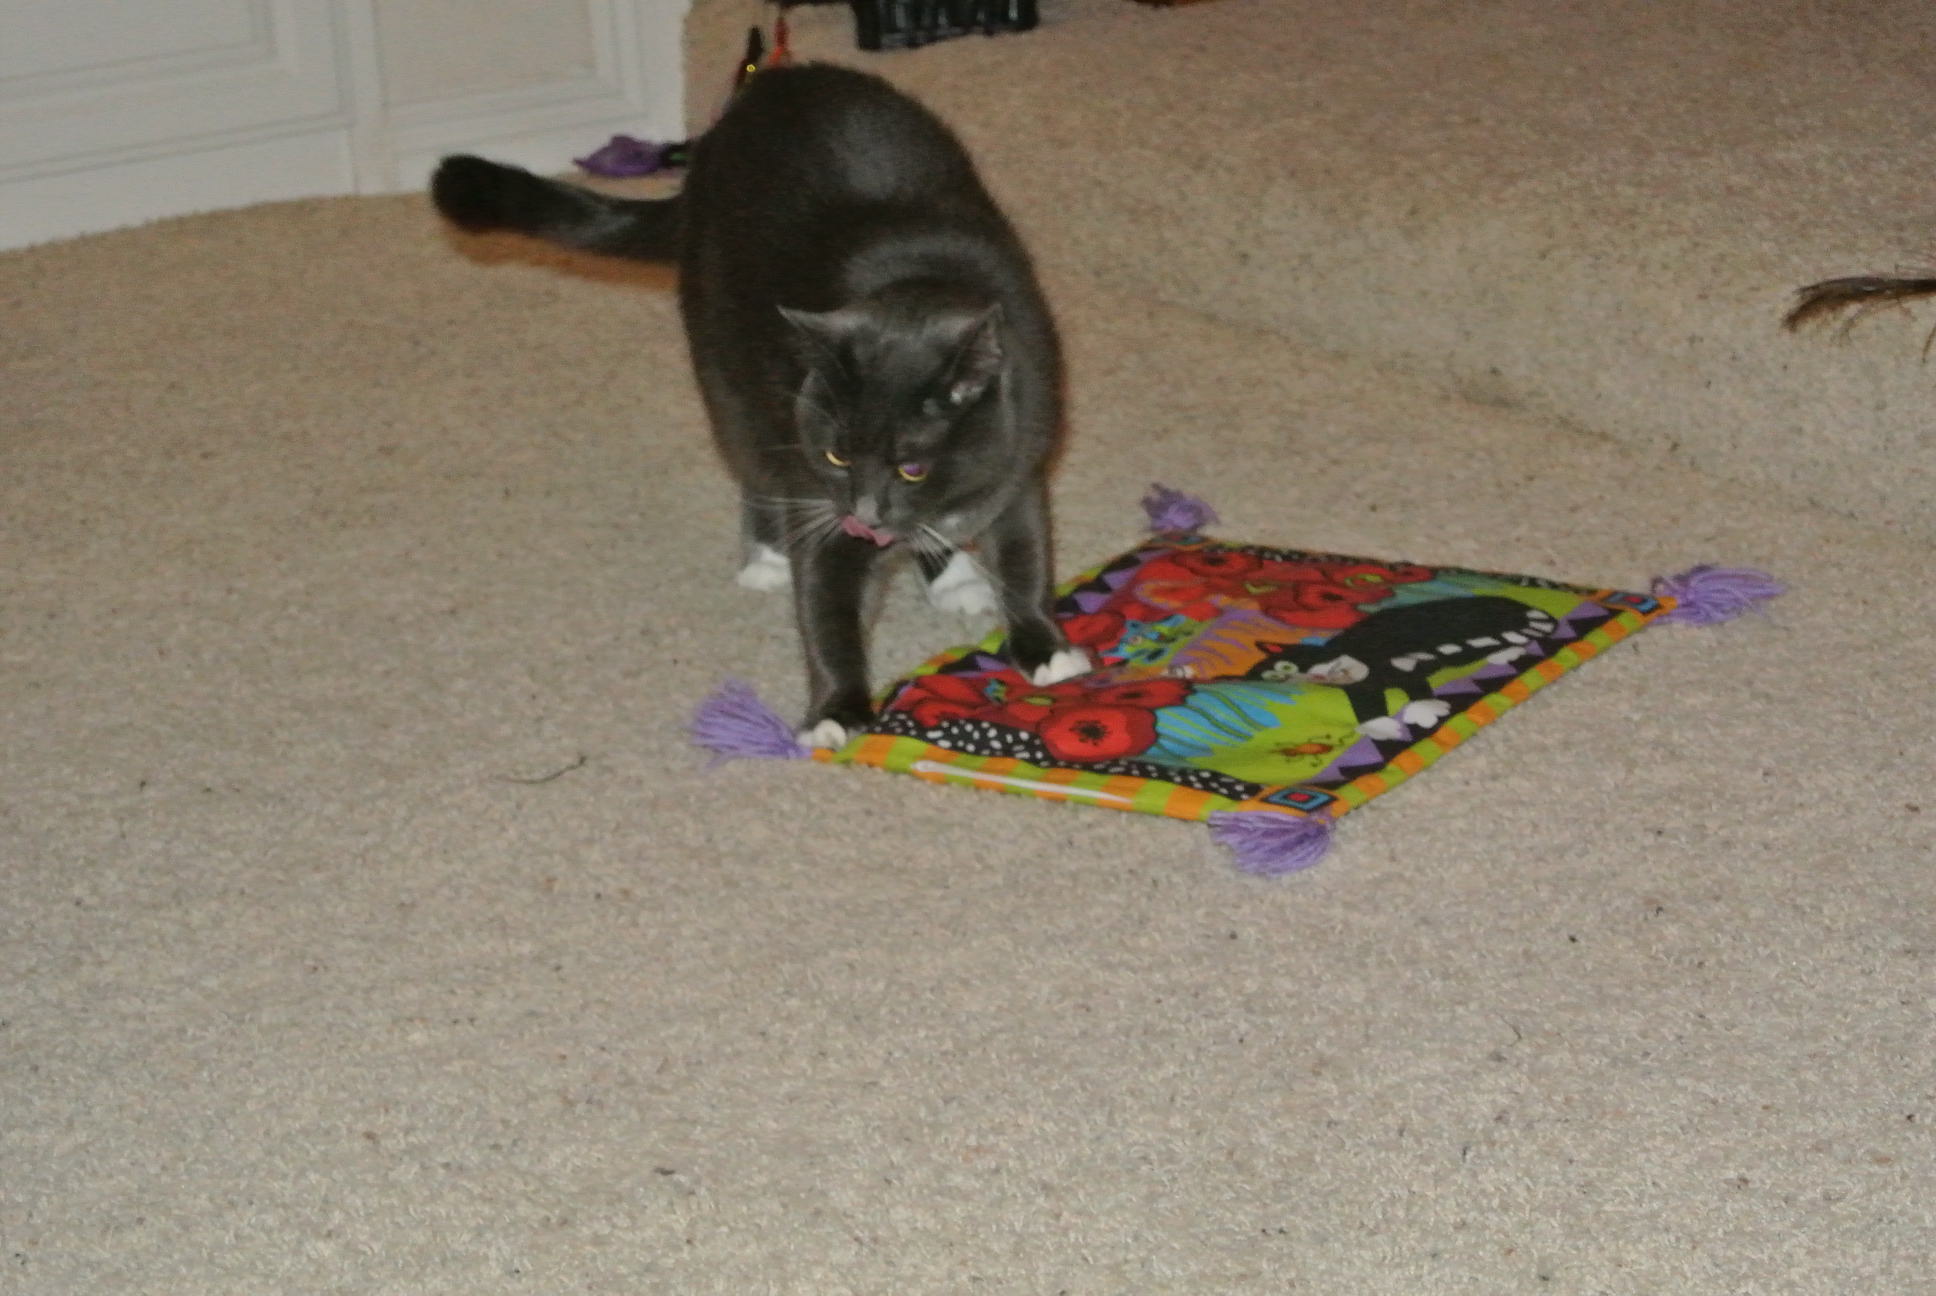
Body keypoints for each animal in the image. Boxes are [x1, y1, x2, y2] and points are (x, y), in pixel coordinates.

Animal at [430, 63, 1085, 748]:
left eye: (913, 467)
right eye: (836, 456)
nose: (866, 513)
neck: (917, 285)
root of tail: (756, 95)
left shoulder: (1020, 453)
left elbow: (1027, 555)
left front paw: (1044, 647)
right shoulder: (819, 493)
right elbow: (824, 601)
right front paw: (836, 712)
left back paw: (952, 575)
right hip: (720, 351)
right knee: (749, 450)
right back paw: (770, 556)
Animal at [1246, 596, 1558, 741]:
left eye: (1287, 665)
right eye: (1280, 678)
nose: (1314, 675)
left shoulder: (1403, 667)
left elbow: (1417, 687)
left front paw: (1425, 709)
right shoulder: (1362, 690)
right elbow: (1367, 707)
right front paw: (1379, 726)